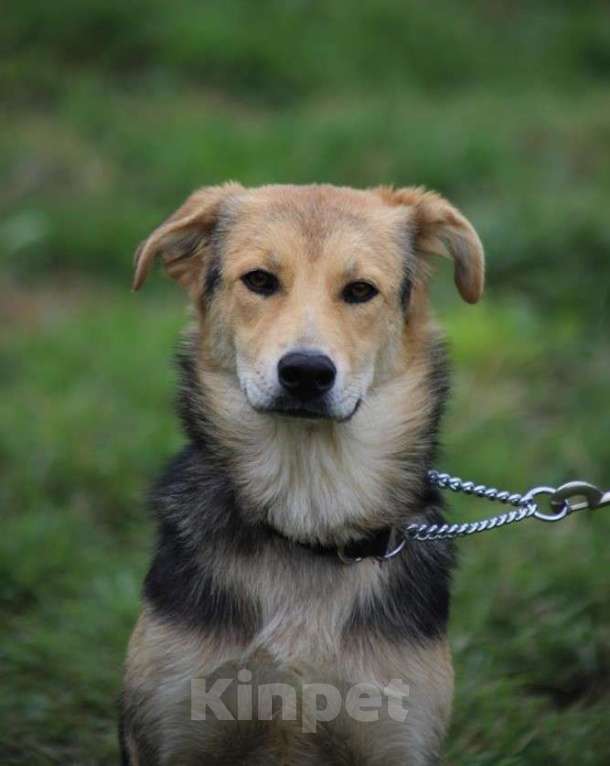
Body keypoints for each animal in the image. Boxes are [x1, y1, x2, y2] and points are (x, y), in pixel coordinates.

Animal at [120, 183, 484, 764]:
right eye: (259, 281)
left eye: (360, 290)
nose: (307, 372)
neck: (307, 515)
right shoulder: (172, 728)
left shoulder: (398, 734)